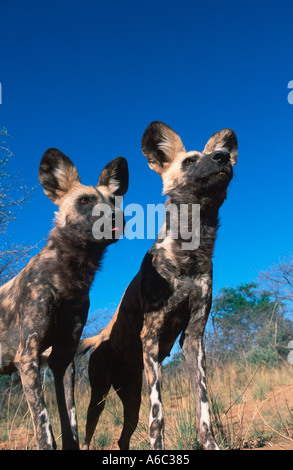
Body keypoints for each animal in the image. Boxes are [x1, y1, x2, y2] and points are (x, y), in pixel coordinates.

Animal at [0, 149, 129, 450]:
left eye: (115, 201)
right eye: (84, 201)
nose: (118, 218)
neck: (71, 275)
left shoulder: (62, 360)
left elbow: (71, 428)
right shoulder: (28, 358)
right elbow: (45, 431)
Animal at [78, 122, 237, 452]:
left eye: (220, 153)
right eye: (189, 161)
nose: (222, 157)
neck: (191, 250)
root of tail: (101, 336)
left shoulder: (194, 338)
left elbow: (203, 404)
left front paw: (210, 444)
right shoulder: (151, 337)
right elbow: (158, 416)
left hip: (130, 398)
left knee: (123, 437)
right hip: (98, 399)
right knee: (88, 433)